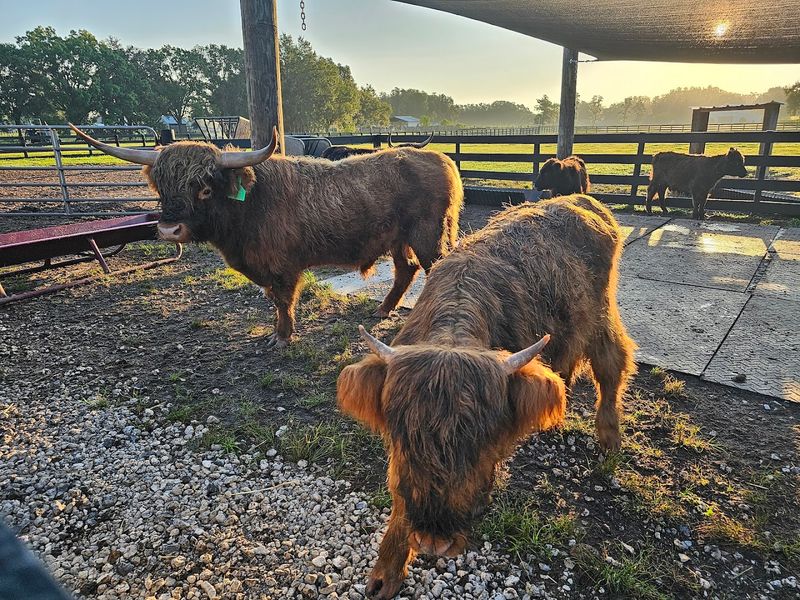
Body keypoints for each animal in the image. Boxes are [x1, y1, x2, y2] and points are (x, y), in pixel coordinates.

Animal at [69, 124, 462, 349]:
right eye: (163, 188)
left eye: (205, 188)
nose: (168, 229)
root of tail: (439, 158)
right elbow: (273, 299)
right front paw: (277, 330)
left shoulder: (283, 265)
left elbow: (283, 300)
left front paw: (282, 336)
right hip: (398, 238)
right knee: (405, 270)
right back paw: (383, 308)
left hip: (428, 234)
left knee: (434, 269)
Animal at [337, 194, 636, 598]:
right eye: (405, 438)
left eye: (484, 441)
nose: (434, 543)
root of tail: (582, 199)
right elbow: (401, 494)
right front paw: (386, 572)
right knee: (568, 362)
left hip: (602, 314)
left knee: (610, 363)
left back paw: (609, 438)